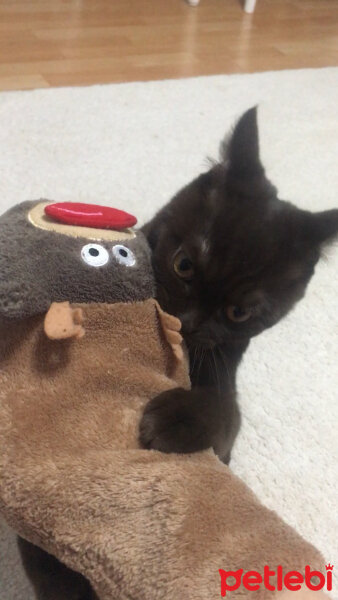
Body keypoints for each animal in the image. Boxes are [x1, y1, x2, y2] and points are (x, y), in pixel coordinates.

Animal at [139, 108, 338, 462]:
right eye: (183, 265)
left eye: (239, 312)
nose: (186, 323)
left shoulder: (226, 365)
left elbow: (226, 411)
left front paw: (179, 419)